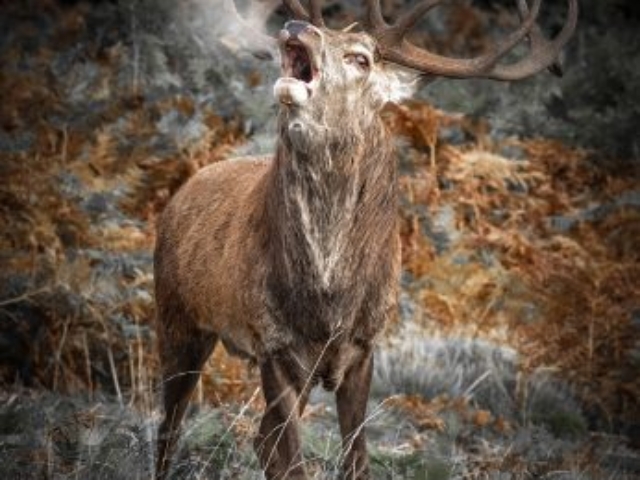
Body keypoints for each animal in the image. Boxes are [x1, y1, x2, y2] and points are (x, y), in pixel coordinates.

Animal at [154, 0, 577, 478]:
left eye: (361, 58)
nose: (296, 26)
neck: (329, 297)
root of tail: (182, 191)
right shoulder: (273, 343)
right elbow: (294, 462)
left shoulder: (364, 345)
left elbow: (355, 458)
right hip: (176, 316)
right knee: (172, 427)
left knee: (257, 439)